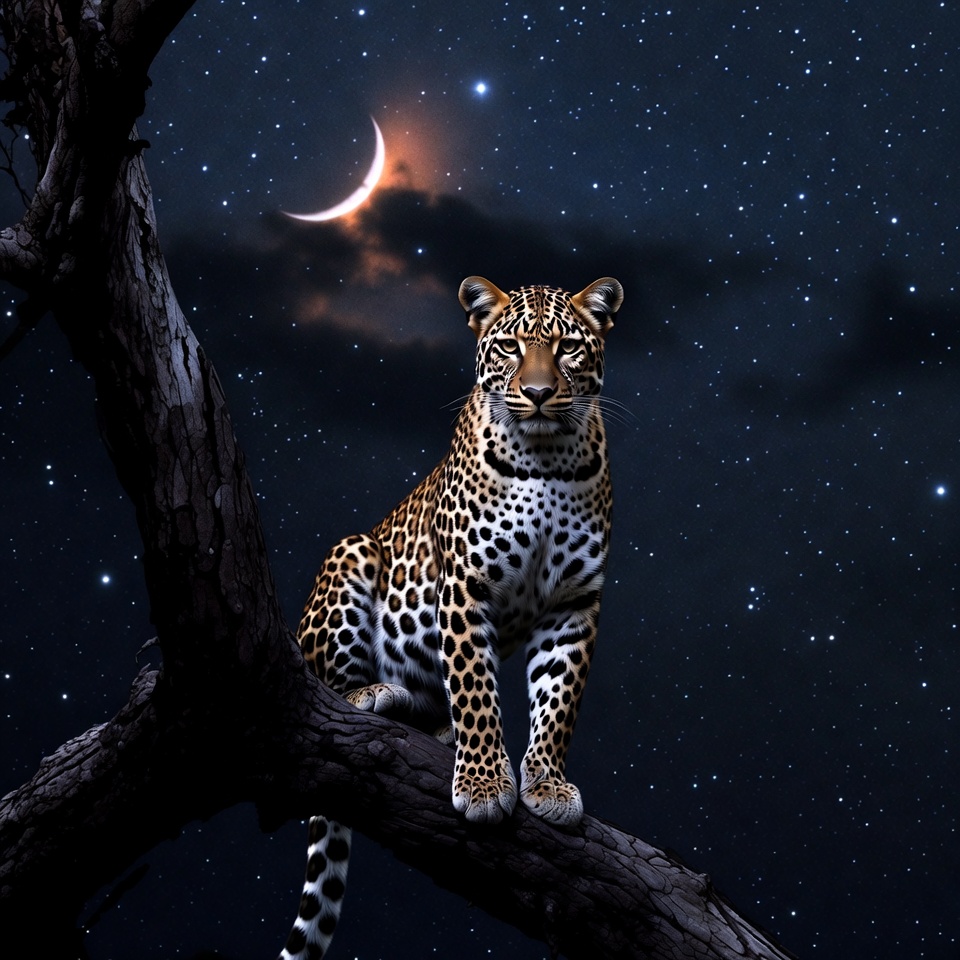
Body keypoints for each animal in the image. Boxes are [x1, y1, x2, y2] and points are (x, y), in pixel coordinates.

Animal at [280, 275, 623, 960]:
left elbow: (559, 701)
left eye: (569, 347)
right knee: (328, 685)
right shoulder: (464, 585)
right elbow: (476, 688)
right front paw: (488, 786)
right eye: (511, 347)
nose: (538, 394)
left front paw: (547, 783)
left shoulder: (574, 603)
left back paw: (436, 730)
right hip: (352, 554)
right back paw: (373, 695)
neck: (547, 459)